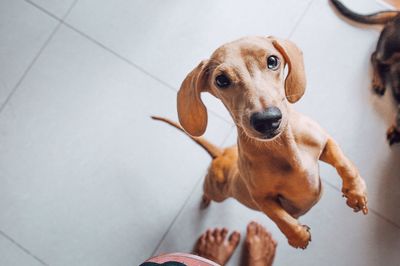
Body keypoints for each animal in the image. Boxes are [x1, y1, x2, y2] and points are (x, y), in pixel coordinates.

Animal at [152, 35, 368, 249]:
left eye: (272, 61)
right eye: (221, 80)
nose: (267, 120)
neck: (284, 148)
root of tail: (221, 154)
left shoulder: (325, 142)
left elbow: (344, 163)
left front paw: (356, 192)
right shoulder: (261, 197)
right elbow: (281, 217)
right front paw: (297, 235)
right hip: (216, 190)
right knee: (207, 191)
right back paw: (204, 200)